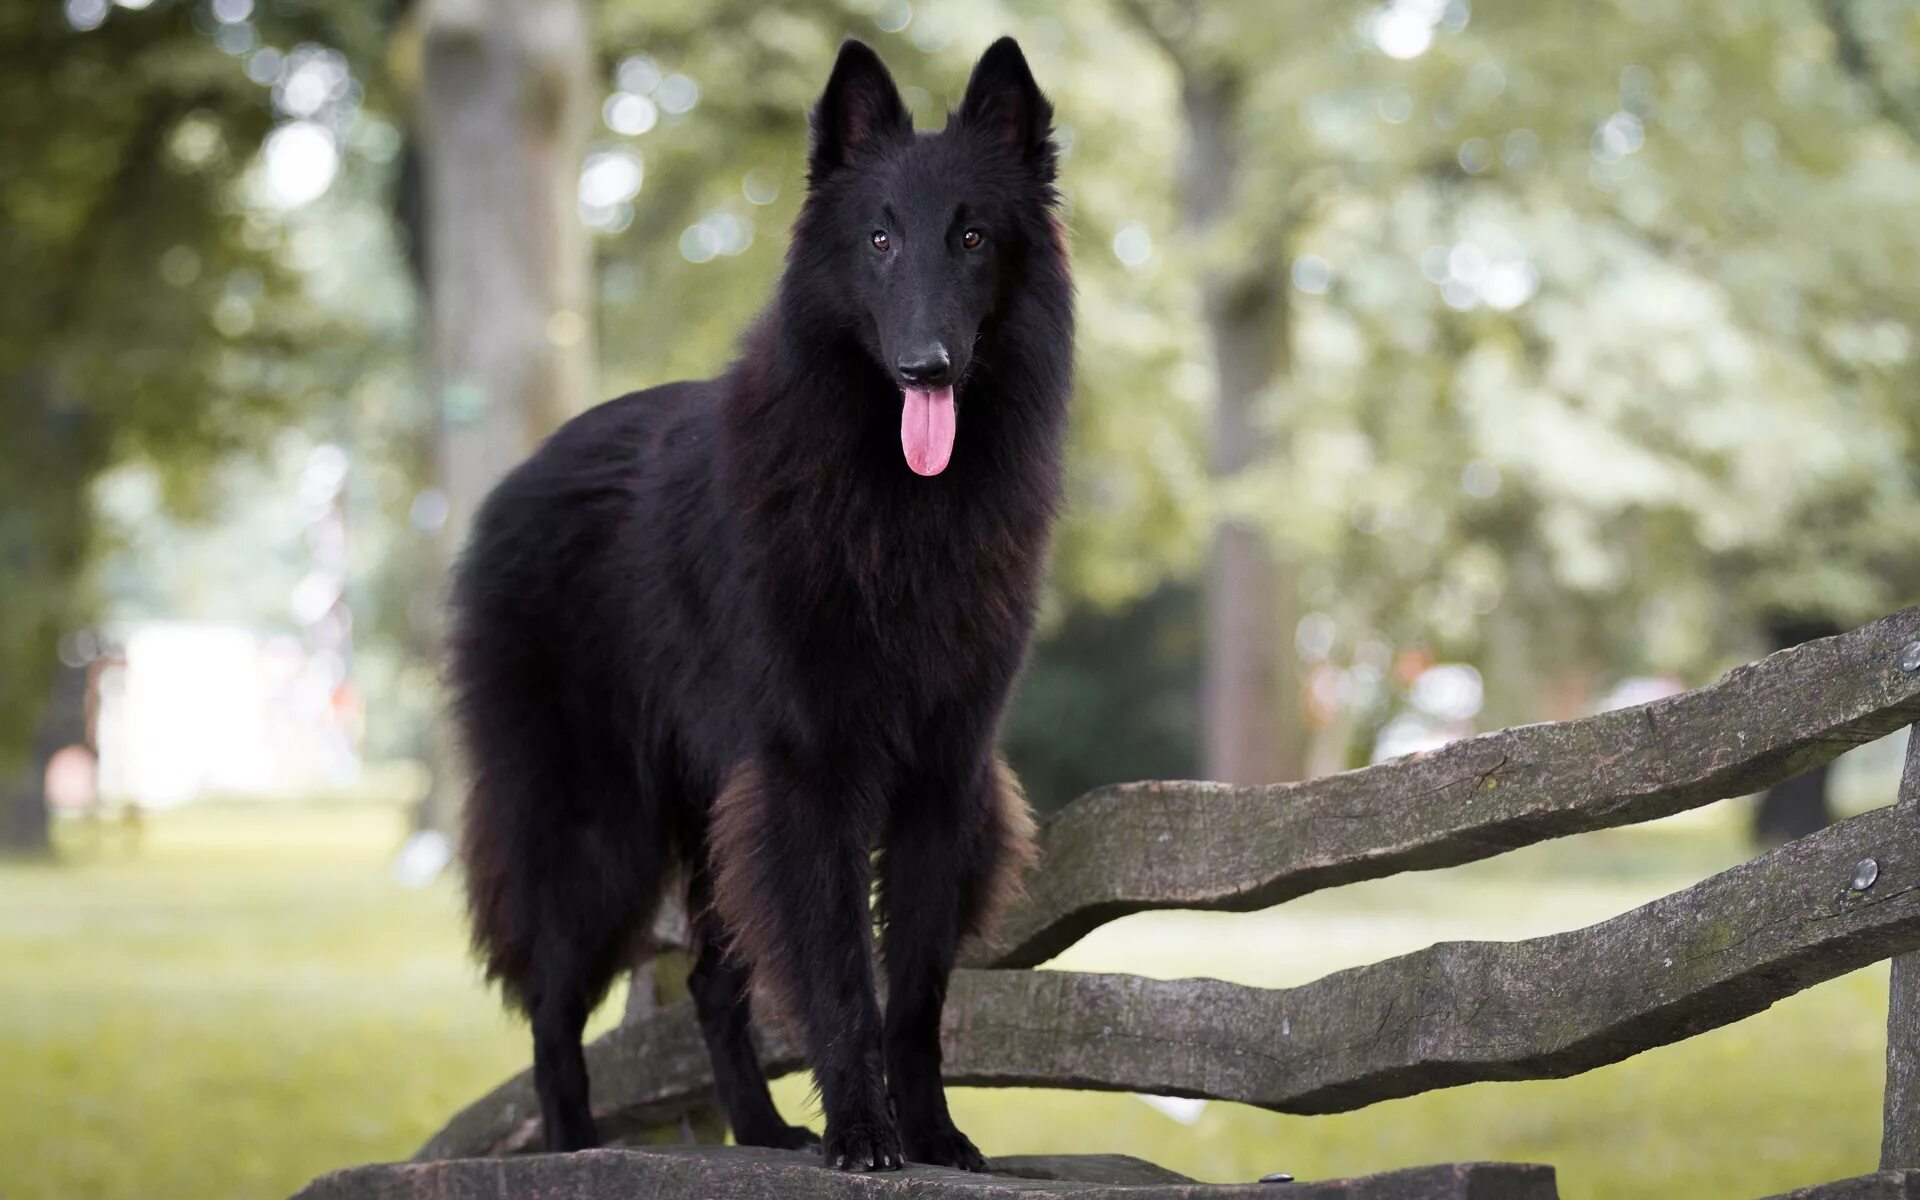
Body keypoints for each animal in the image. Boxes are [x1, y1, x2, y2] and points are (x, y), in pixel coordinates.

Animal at [449, 35, 1075, 1167]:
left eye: (972, 237)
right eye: (879, 238)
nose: (928, 366)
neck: (896, 499)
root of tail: (525, 471)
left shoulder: (942, 777)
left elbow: (914, 992)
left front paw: (928, 1133)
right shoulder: (811, 776)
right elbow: (839, 976)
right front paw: (863, 1133)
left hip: (704, 812)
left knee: (704, 979)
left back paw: (759, 1129)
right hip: (599, 826)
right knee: (552, 1002)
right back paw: (573, 1147)